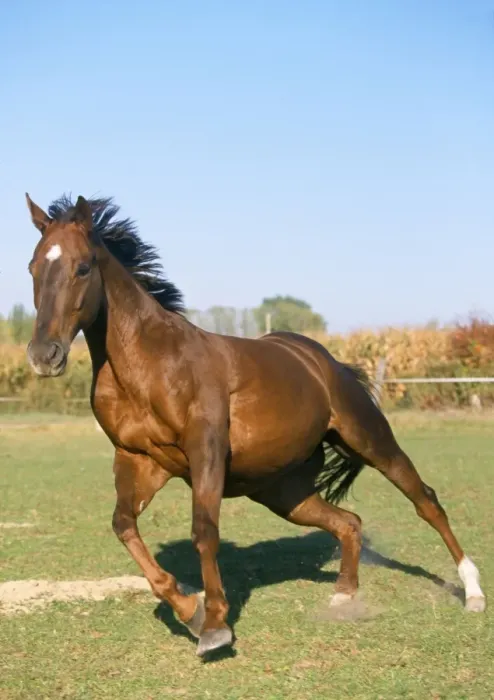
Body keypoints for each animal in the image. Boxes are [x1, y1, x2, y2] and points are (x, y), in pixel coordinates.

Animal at [25, 193, 486, 656]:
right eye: (32, 267)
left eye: (83, 267)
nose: (44, 354)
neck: (150, 364)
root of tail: (324, 360)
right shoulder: (138, 458)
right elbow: (123, 525)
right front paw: (189, 611)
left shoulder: (206, 451)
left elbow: (204, 531)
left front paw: (214, 626)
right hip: (283, 492)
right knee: (348, 522)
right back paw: (343, 598)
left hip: (369, 440)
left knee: (425, 500)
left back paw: (472, 592)